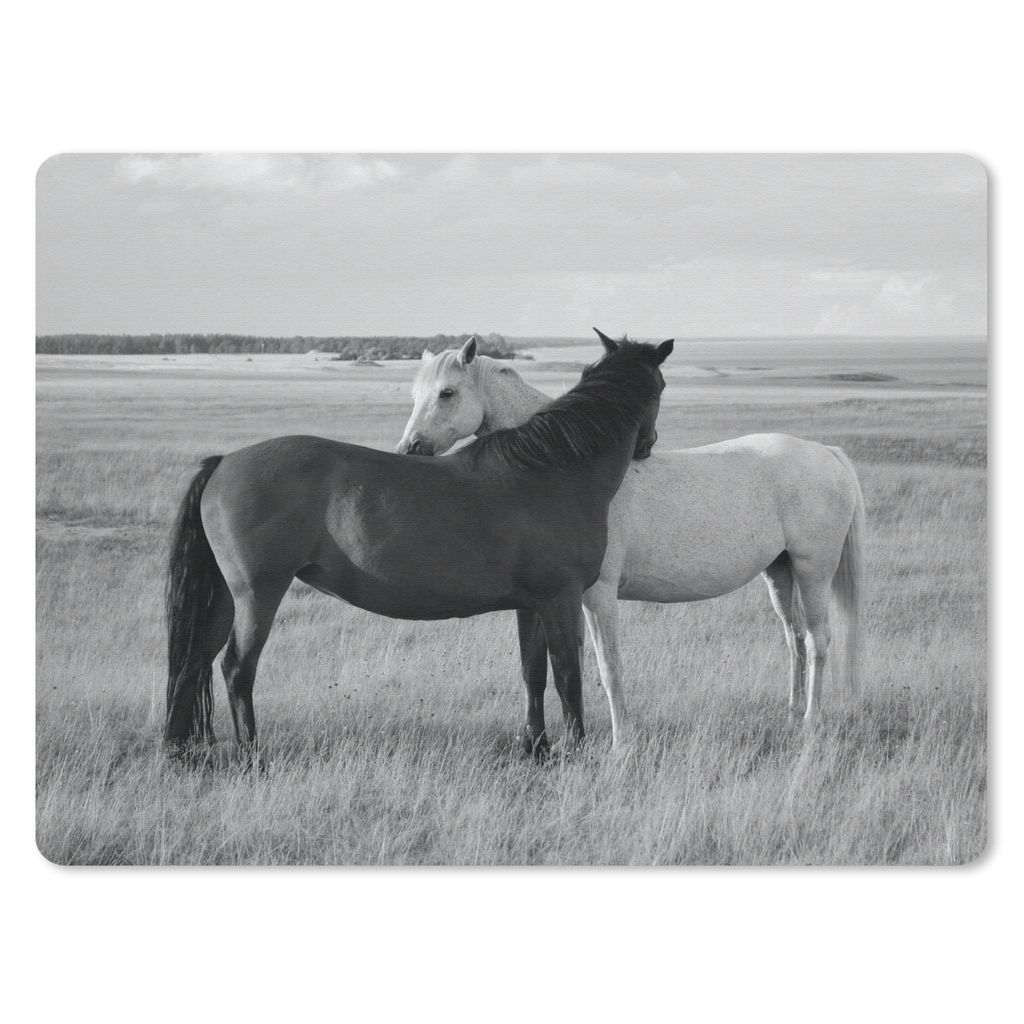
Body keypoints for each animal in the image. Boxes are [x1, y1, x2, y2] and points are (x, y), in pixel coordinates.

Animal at [164, 337, 673, 760]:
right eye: (663, 385)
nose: (648, 446)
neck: (552, 468)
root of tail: (223, 462)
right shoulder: (561, 599)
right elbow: (568, 675)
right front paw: (575, 751)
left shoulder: (531, 605)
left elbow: (533, 673)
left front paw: (537, 749)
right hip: (258, 595)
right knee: (236, 669)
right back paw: (252, 758)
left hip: (224, 598)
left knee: (192, 662)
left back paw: (179, 752)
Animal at [397, 329, 865, 746]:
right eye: (415, 395)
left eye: (447, 393)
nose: (409, 449)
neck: (562, 464)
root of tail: (828, 453)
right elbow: (555, 666)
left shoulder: (597, 594)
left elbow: (607, 667)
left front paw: (621, 740)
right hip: (779, 572)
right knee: (794, 637)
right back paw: (791, 714)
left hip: (814, 569)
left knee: (818, 638)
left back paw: (811, 723)